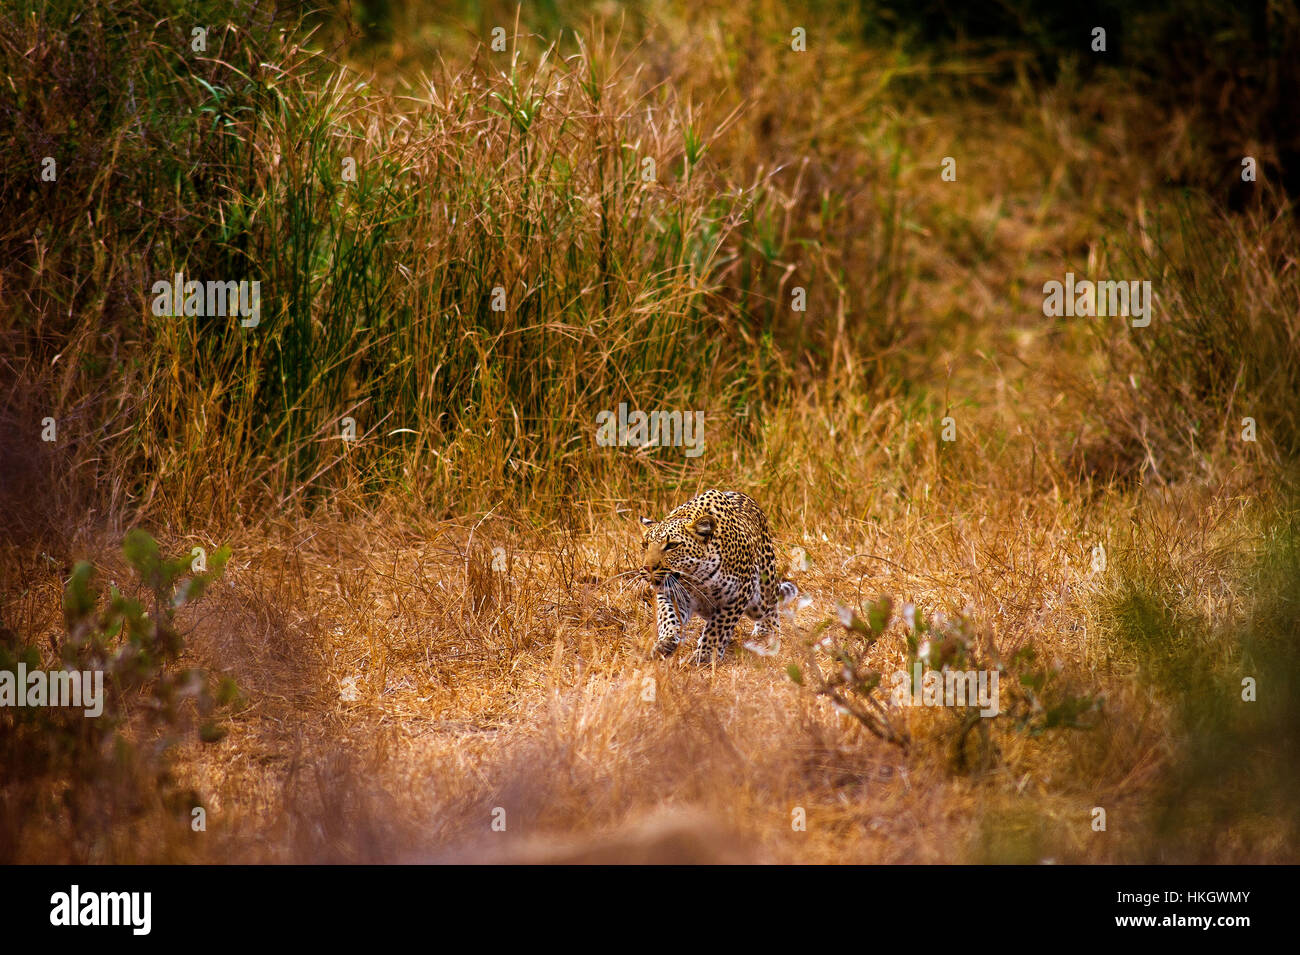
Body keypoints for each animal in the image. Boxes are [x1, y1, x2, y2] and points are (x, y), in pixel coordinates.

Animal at [637, 488, 795, 660]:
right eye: (645, 544)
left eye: (672, 545)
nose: (648, 568)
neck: (694, 577)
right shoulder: (671, 592)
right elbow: (668, 616)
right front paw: (666, 641)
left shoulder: (738, 594)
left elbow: (718, 627)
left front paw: (706, 654)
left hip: (762, 594)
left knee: (770, 605)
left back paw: (767, 631)